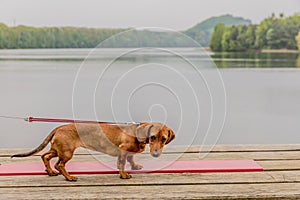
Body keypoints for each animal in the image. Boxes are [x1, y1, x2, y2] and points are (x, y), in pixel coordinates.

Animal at [11, 122, 175, 181]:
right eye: (152, 137)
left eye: (164, 139)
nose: (155, 154)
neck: (136, 133)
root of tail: (59, 127)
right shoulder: (123, 150)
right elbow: (122, 163)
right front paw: (123, 175)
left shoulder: (127, 153)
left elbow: (130, 159)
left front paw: (135, 166)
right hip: (66, 153)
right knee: (60, 165)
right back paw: (69, 177)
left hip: (58, 150)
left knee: (45, 156)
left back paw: (50, 172)